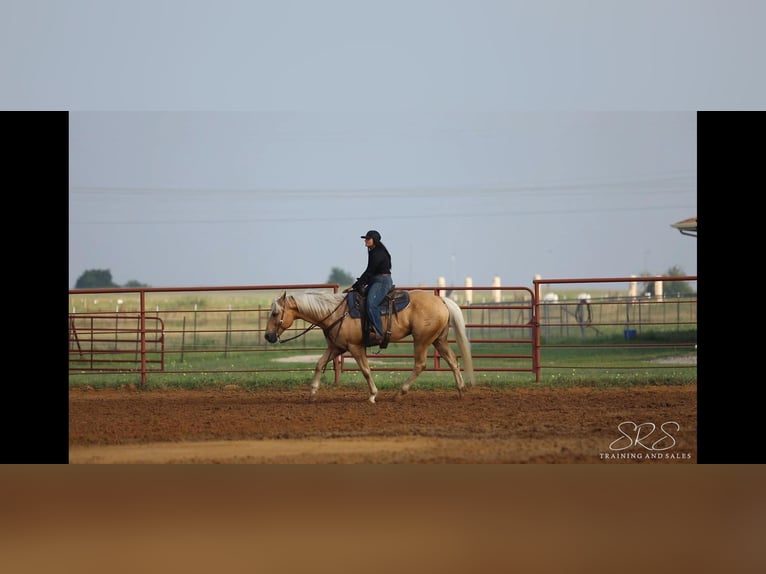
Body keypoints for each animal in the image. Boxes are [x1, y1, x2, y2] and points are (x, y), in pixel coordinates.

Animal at [264, 290, 474, 402]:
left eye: (275, 313)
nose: (268, 336)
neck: (335, 313)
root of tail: (440, 300)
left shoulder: (355, 347)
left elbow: (365, 369)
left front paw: (373, 395)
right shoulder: (336, 348)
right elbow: (319, 364)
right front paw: (312, 393)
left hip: (422, 340)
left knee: (420, 364)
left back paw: (400, 393)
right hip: (439, 339)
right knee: (453, 360)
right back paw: (461, 390)